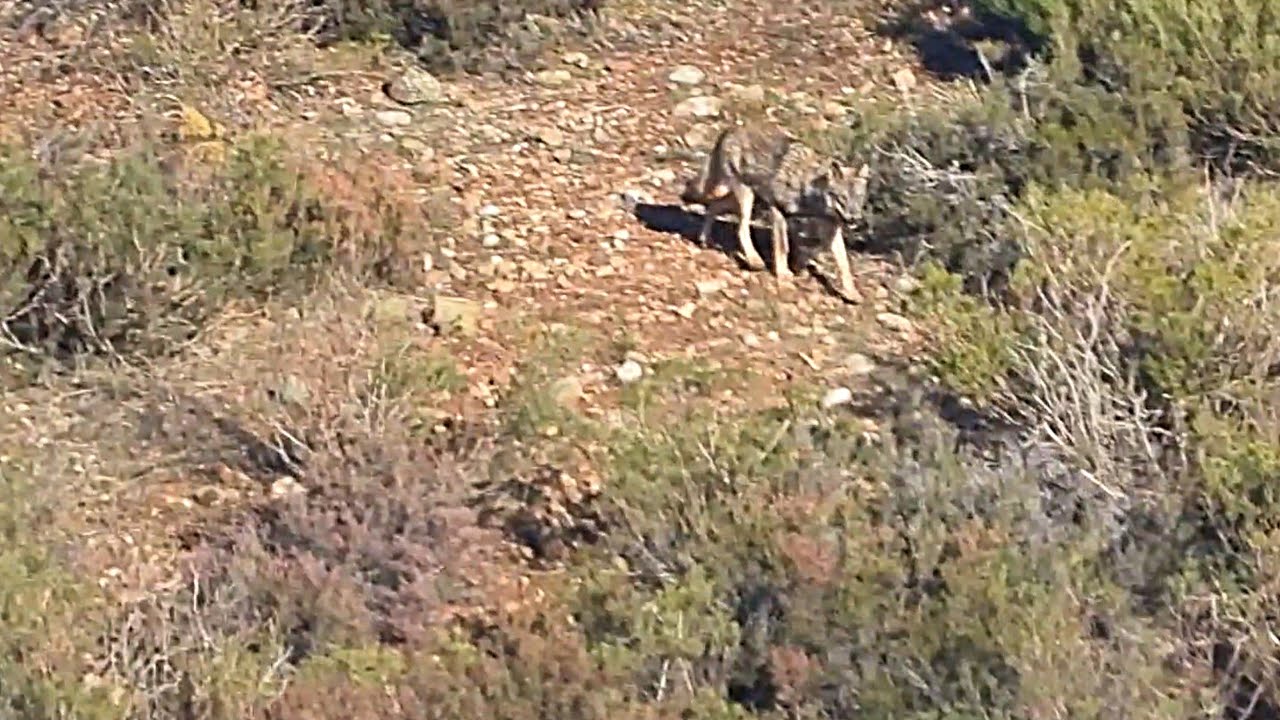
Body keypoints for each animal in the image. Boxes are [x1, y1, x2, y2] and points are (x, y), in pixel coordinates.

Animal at [679, 121, 870, 300]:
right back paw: (754, 260)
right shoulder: (778, 211)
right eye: (842, 198)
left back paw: (704, 239)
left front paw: (851, 293)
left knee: (714, 207)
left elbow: (843, 263)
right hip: (745, 199)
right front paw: (783, 273)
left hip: (745, 201)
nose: (854, 219)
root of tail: (732, 129)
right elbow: (783, 247)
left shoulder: (832, 230)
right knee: (740, 228)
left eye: (859, 198)